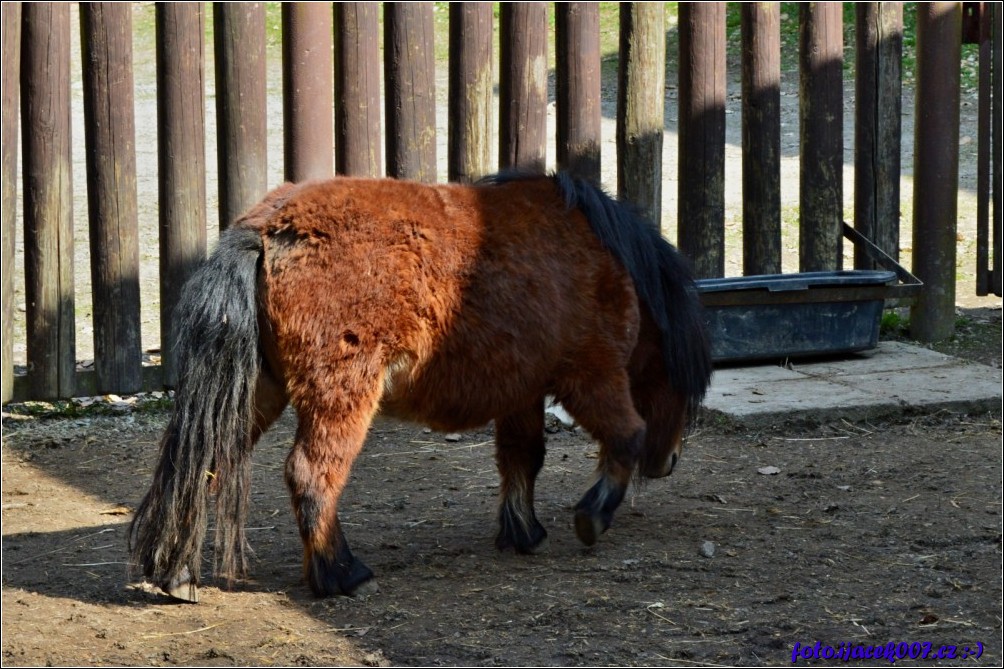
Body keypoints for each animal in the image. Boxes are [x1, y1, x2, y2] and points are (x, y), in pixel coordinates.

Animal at [129, 170, 714, 598]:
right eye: (679, 379)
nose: (670, 462)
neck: (606, 259)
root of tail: (270, 229)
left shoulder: (521, 393)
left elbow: (522, 459)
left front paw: (522, 532)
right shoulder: (591, 376)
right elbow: (626, 436)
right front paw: (592, 516)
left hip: (259, 391)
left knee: (208, 461)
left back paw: (177, 573)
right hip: (342, 395)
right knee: (312, 475)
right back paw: (340, 574)